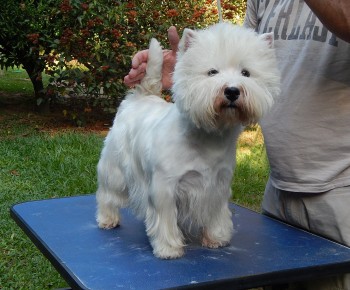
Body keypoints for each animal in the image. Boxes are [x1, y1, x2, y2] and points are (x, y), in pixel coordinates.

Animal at [94, 22, 280, 258]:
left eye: (246, 73)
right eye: (212, 72)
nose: (232, 91)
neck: (209, 137)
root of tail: (141, 96)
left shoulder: (218, 185)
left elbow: (216, 213)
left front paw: (216, 238)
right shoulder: (164, 187)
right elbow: (164, 218)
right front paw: (169, 248)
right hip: (115, 168)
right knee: (107, 193)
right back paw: (107, 219)